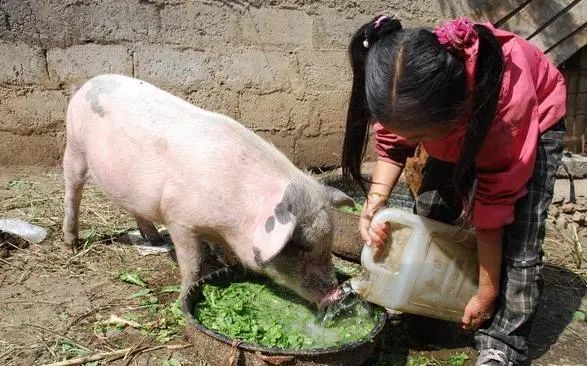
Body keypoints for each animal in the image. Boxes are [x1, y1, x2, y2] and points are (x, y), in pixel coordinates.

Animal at [63, 73, 354, 312]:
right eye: (301, 246)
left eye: (329, 242)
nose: (337, 295)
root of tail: (87, 83)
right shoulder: (179, 220)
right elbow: (193, 264)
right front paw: (183, 301)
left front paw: (231, 266)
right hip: (74, 147)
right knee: (72, 193)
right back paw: (71, 244)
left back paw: (154, 240)